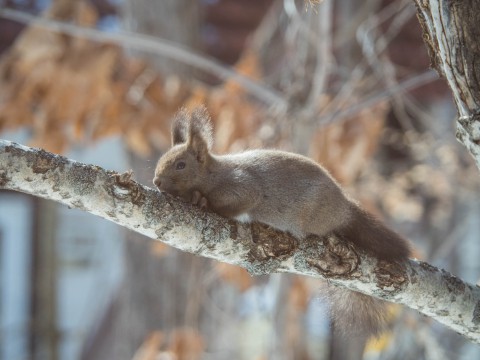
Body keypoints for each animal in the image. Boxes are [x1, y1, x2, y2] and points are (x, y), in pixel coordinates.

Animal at [155, 105, 412, 336]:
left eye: (181, 165)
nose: (156, 181)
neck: (213, 174)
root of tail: (344, 208)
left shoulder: (242, 187)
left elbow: (235, 203)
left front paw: (201, 200)